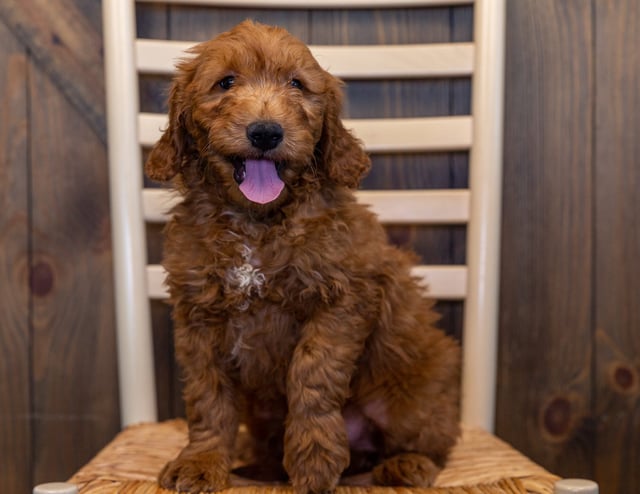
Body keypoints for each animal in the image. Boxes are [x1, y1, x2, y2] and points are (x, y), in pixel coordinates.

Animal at [146, 20, 460, 494]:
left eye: (296, 84)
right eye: (226, 82)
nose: (266, 132)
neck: (256, 223)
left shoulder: (343, 299)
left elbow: (312, 375)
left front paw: (314, 463)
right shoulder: (198, 316)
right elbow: (207, 397)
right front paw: (202, 461)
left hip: (408, 396)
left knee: (432, 438)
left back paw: (408, 464)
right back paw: (258, 464)